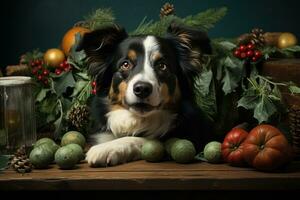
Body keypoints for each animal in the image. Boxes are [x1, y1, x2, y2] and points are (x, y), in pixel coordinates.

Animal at [77, 23, 213, 167]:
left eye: (162, 66)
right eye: (125, 64)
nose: (142, 89)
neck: (139, 120)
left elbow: (147, 139)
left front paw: (106, 148)